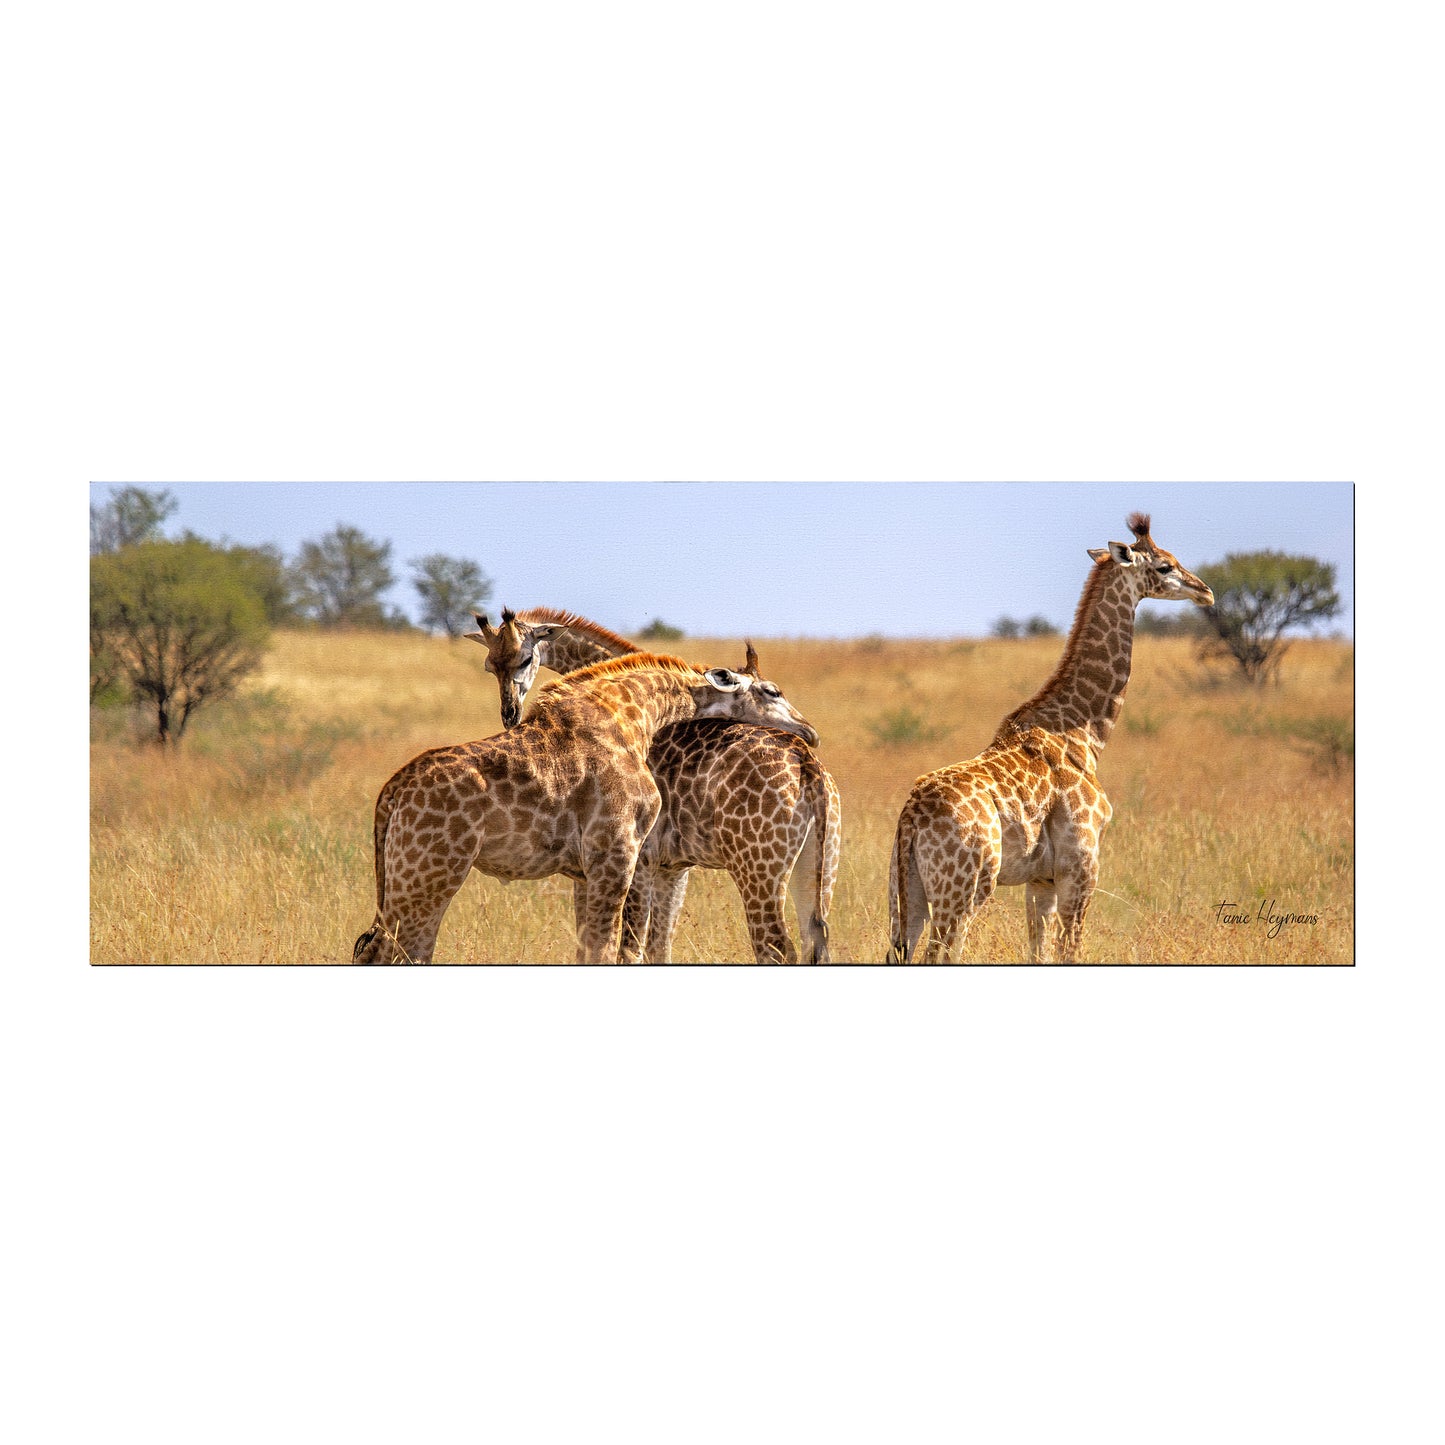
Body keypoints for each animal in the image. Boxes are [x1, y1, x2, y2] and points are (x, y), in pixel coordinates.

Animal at [352, 654, 818, 964]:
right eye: (772, 690)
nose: (809, 730)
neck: (637, 716)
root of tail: (393, 789)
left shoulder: (589, 868)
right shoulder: (617, 852)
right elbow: (607, 949)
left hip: (414, 876)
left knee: (396, 950)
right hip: (430, 874)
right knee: (389, 951)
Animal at [467, 608, 842, 964]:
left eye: (525, 659)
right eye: (490, 666)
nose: (510, 713)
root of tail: (810, 770)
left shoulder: (634, 860)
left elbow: (621, 948)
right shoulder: (672, 868)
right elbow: (656, 948)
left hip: (757, 869)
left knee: (775, 947)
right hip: (816, 870)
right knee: (815, 943)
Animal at [886, 513, 1214, 964]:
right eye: (1165, 566)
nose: (1206, 592)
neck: (1085, 733)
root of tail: (911, 819)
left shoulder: (1039, 880)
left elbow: (1038, 952)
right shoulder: (1081, 868)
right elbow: (1069, 950)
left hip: (906, 892)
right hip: (964, 890)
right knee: (942, 954)